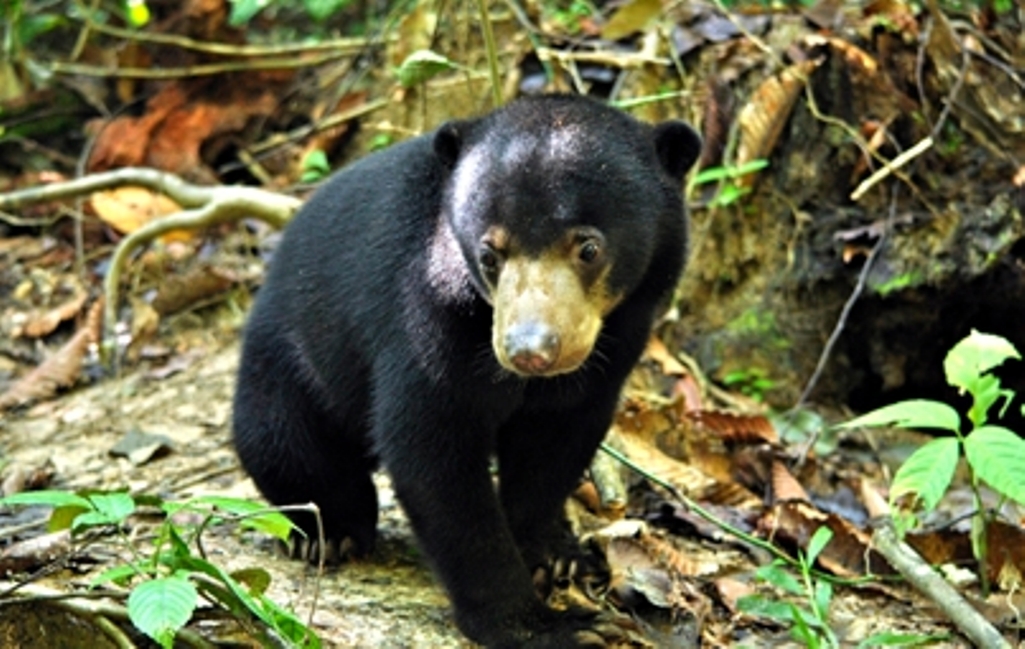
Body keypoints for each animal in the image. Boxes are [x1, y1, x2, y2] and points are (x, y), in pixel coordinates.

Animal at [233, 93, 701, 643]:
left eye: (588, 247)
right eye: (489, 253)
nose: (529, 350)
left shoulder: (619, 338)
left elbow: (557, 443)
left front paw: (547, 555)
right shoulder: (426, 316)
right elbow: (434, 453)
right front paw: (547, 626)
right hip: (288, 361)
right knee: (281, 440)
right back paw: (328, 532)